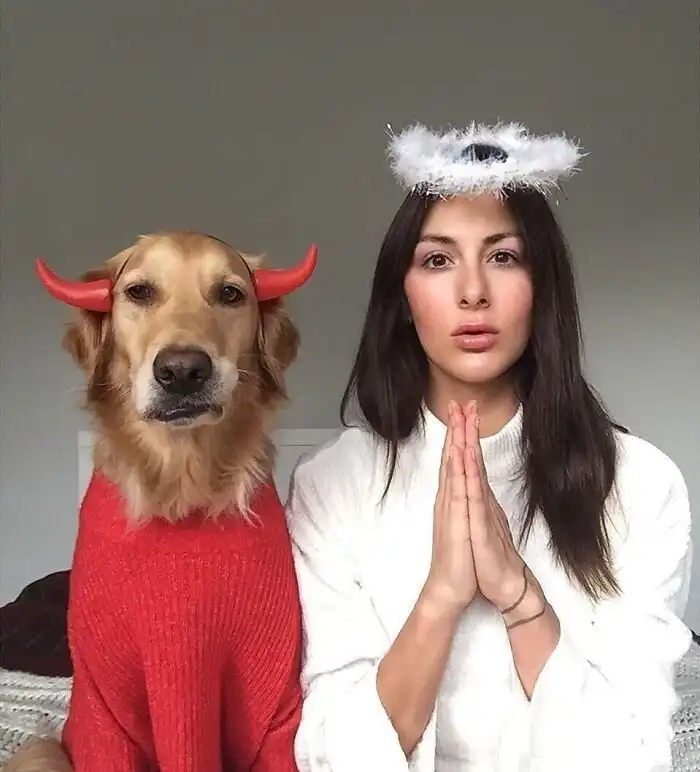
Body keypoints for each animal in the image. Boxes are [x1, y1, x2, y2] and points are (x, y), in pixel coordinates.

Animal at [5, 231, 318, 771]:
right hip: (41, 749)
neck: (182, 487)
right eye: (139, 292)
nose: (183, 370)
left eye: (230, 294)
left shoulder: (277, 712)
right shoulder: (106, 715)